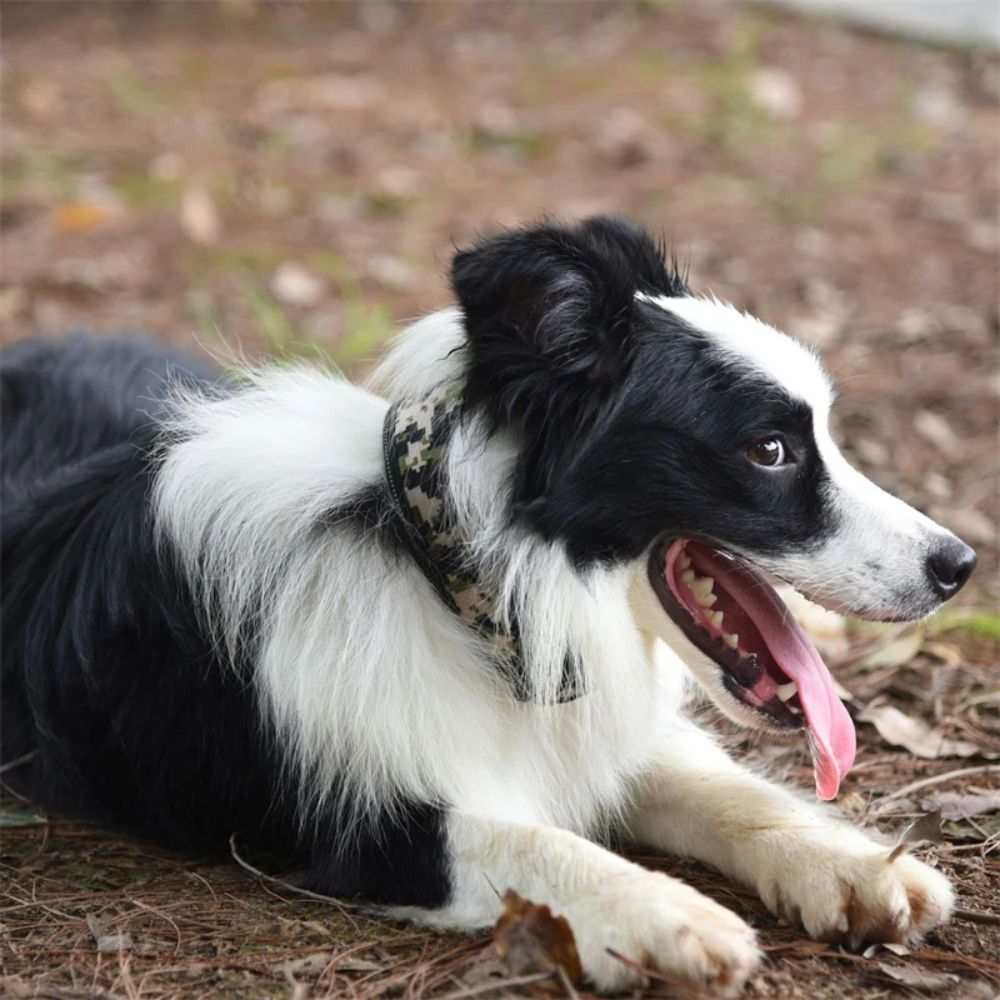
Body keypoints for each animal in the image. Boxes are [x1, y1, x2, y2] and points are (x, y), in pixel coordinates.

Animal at [1, 217, 976, 992]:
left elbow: (725, 788)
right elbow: (538, 844)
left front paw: (861, 866)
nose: (959, 564)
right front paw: (674, 917)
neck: (457, 580)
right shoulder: (366, 823)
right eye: (770, 450)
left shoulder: (588, 723)